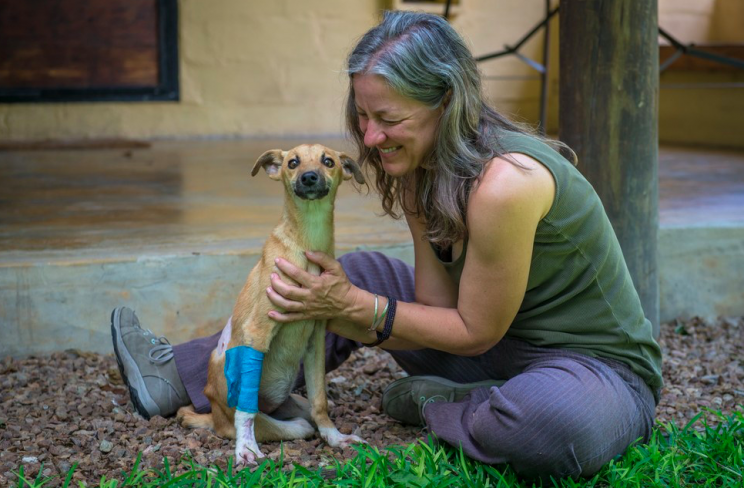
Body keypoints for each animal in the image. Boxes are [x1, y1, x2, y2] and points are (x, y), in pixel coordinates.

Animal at [180, 144, 366, 466]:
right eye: (292, 162)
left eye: (328, 161)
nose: (308, 177)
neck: (307, 240)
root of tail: (213, 416)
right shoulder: (257, 332)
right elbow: (247, 410)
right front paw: (246, 449)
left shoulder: (316, 339)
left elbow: (320, 399)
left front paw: (334, 437)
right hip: (249, 412)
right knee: (285, 423)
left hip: (294, 400)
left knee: (307, 412)